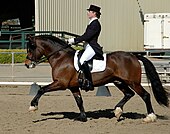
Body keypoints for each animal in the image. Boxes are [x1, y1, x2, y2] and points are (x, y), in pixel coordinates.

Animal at [24, 34, 169, 122]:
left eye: (32, 47)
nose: (27, 64)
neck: (61, 57)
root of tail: (134, 56)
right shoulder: (73, 86)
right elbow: (79, 101)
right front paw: (83, 117)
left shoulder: (61, 83)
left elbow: (41, 90)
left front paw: (33, 107)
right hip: (119, 82)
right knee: (129, 94)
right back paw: (117, 111)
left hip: (133, 82)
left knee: (145, 95)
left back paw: (150, 117)